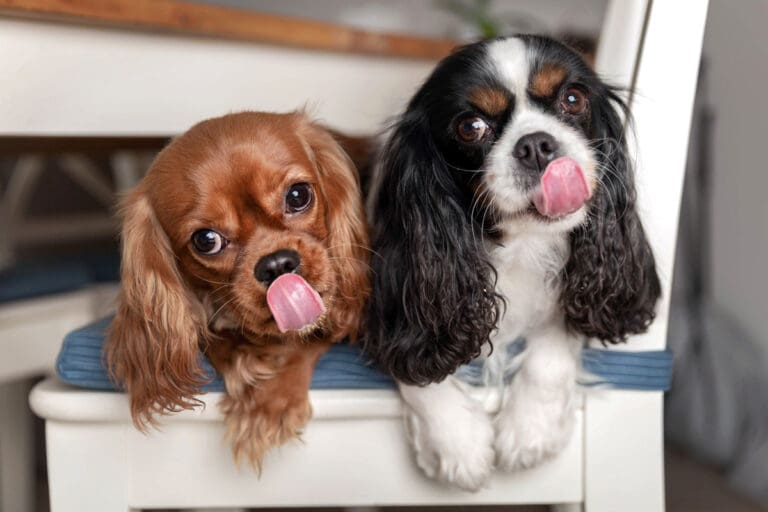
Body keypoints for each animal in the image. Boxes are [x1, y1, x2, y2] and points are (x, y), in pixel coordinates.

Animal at [364, 34, 660, 490]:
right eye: (471, 127)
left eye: (573, 99)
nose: (536, 144)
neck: (520, 242)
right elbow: (416, 366)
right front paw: (457, 444)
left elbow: (555, 348)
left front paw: (530, 432)